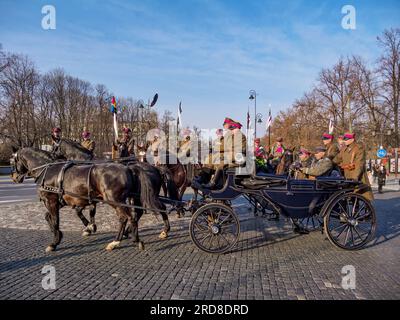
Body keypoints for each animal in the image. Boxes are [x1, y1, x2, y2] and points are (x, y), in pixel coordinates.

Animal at [10, 146, 166, 251]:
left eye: (13, 160)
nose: (14, 177)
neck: (48, 170)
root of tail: (128, 168)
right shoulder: (62, 201)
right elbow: (49, 217)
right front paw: (61, 234)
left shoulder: (51, 201)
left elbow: (56, 220)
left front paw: (54, 242)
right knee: (129, 216)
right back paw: (119, 240)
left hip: (114, 200)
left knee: (129, 217)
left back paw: (134, 240)